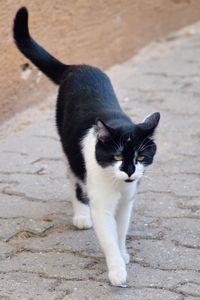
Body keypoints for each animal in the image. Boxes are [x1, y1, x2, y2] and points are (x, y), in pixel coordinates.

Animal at [12, 7, 159, 288]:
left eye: (141, 157)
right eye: (117, 156)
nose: (129, 171)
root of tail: (76, 67)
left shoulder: (127, 201)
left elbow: (121, 231)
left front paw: (123, 253)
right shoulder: (102, 203)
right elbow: (109, 236)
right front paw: (117, 270)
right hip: (67, 146)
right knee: (73, 177)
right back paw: (81, 215)